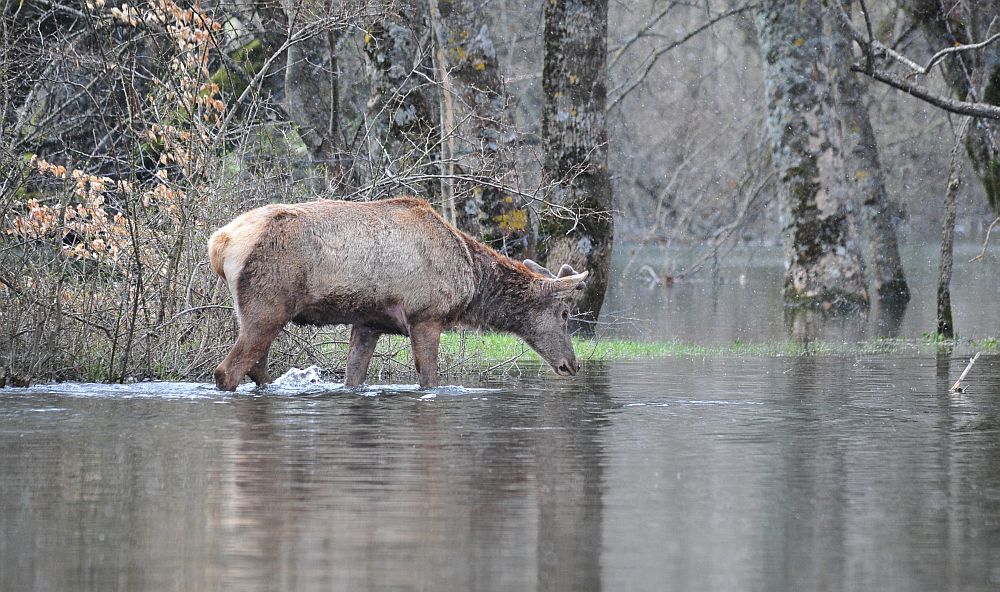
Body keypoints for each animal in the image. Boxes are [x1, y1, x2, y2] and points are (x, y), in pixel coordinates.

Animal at [208, 197, 588, 390]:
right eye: (564, 313)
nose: (572, 364)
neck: (471, 281)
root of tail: (219, 243)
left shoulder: (369, 322)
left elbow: (354, 378)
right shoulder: (427, 316)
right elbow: (429, 379)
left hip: (252, 310)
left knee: (257, 371)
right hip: (267, 305)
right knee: (228, 371)